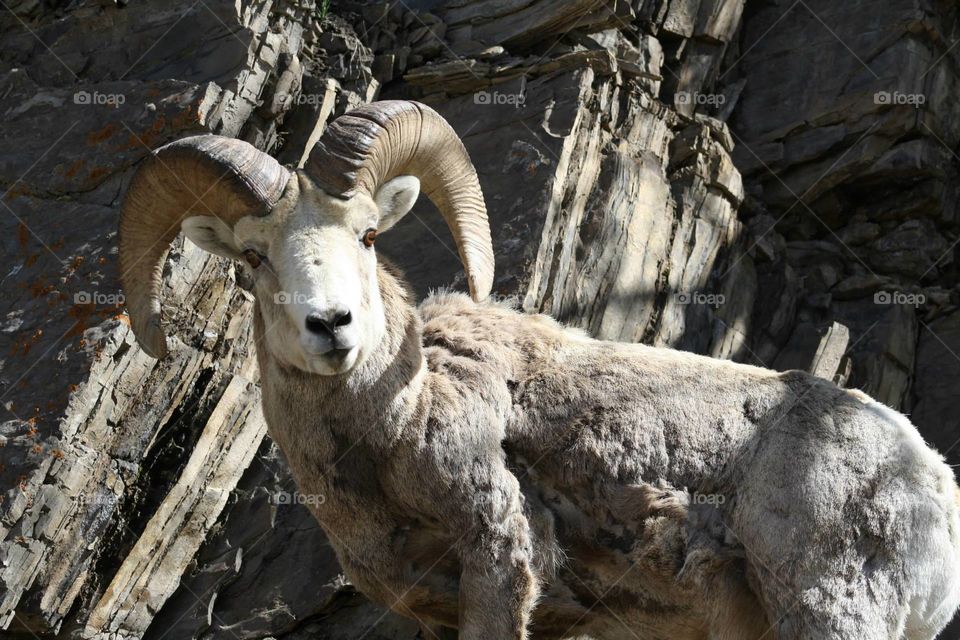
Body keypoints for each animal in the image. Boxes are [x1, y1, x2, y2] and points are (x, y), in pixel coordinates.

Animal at [120, 101, 960, 640]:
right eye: (253, 256)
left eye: (366, 235)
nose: (331, 325)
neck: (397, 423)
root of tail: (929, 480)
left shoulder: (500, 564)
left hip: (828, 614)